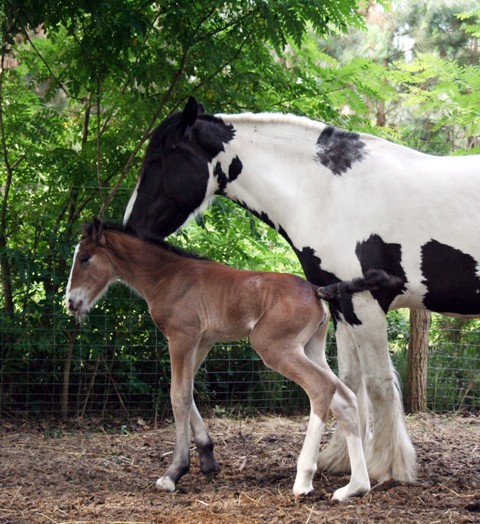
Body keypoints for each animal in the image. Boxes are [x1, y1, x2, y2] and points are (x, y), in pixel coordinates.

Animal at [64, 220, 398, 500]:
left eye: (85, 258)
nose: (71, 302)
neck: (168, 277)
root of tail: (317, 290)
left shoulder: (182, 336)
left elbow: (178, 396)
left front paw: (174, 473)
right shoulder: (203, 340)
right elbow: (188, 391)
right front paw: (207, 458)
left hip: (274, 346)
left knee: (321, 388)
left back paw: (303, 481)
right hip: (310, 348)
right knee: (344, 397)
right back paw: (354, 487)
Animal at [124, 97, 480, 484]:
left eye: (159, 159)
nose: (130, 227)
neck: (331, 193)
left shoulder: (364, 303)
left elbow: (378, 384)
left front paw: (387, 466)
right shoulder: (340, 303)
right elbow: (349, 381)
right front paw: (340, 459)